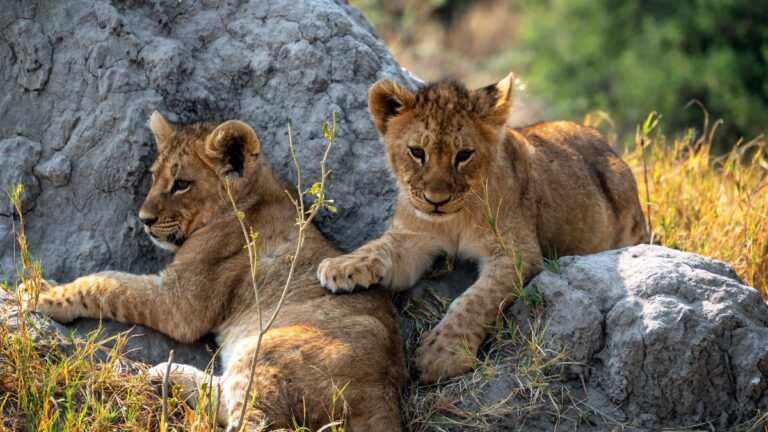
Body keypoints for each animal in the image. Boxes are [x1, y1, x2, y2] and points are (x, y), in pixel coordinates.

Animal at [29, 113, 406, 431]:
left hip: (268, 352)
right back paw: (166, 373)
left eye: (182, 183)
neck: (249, 196)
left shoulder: (181, 303)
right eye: (154, 176)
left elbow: (106, 283)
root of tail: (384, 398)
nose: (144, 220)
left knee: (251, 418)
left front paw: (39, 293)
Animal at [317, 73, 648, 383]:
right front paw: (341, 266)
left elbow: (475, 300)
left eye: (463, 155)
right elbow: (378, 247)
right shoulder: (412, 238)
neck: (453, 220)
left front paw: (441, 354)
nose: (436, 201)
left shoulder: (517, 253)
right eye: (417, 152)